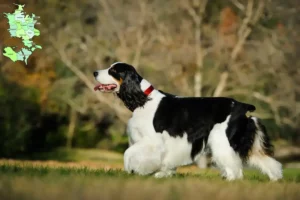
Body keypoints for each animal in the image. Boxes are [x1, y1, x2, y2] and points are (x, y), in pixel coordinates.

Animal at [92, 62, 282, 181]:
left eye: (113, 70)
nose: (94, 72)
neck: (143, 99)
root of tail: (242, 106)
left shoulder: (152, 141)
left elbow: (128, 153)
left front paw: (137, 171)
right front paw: (162, 174)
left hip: (222, 140)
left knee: (235, 168)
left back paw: (231, 180)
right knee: (265, 160)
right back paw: (275, 179)